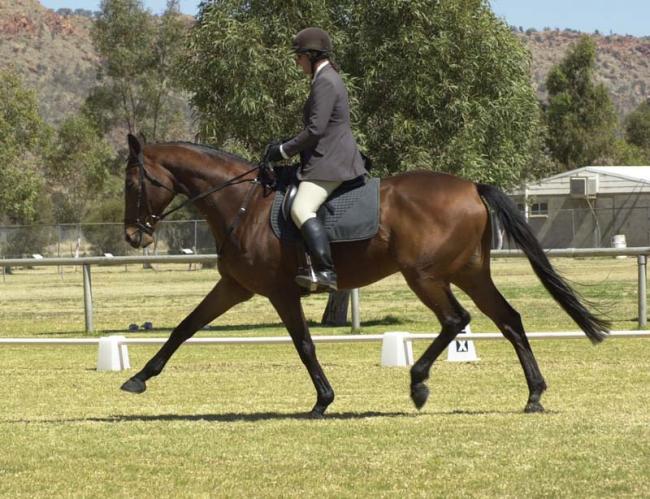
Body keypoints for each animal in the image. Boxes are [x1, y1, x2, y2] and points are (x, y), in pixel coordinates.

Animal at [121, 134, 608, 418]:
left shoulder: (280, 292)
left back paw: (418, 384)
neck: (244, 205)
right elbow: (184, 328)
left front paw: (322, 401)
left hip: (425, 276)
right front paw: (139, 378)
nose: (132, 236)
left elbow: (304, 345)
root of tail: (472, 186)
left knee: (456, 320)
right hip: (469, 272)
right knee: (509, 320)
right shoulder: (234, 287)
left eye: (131, 183)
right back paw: (534, 395)